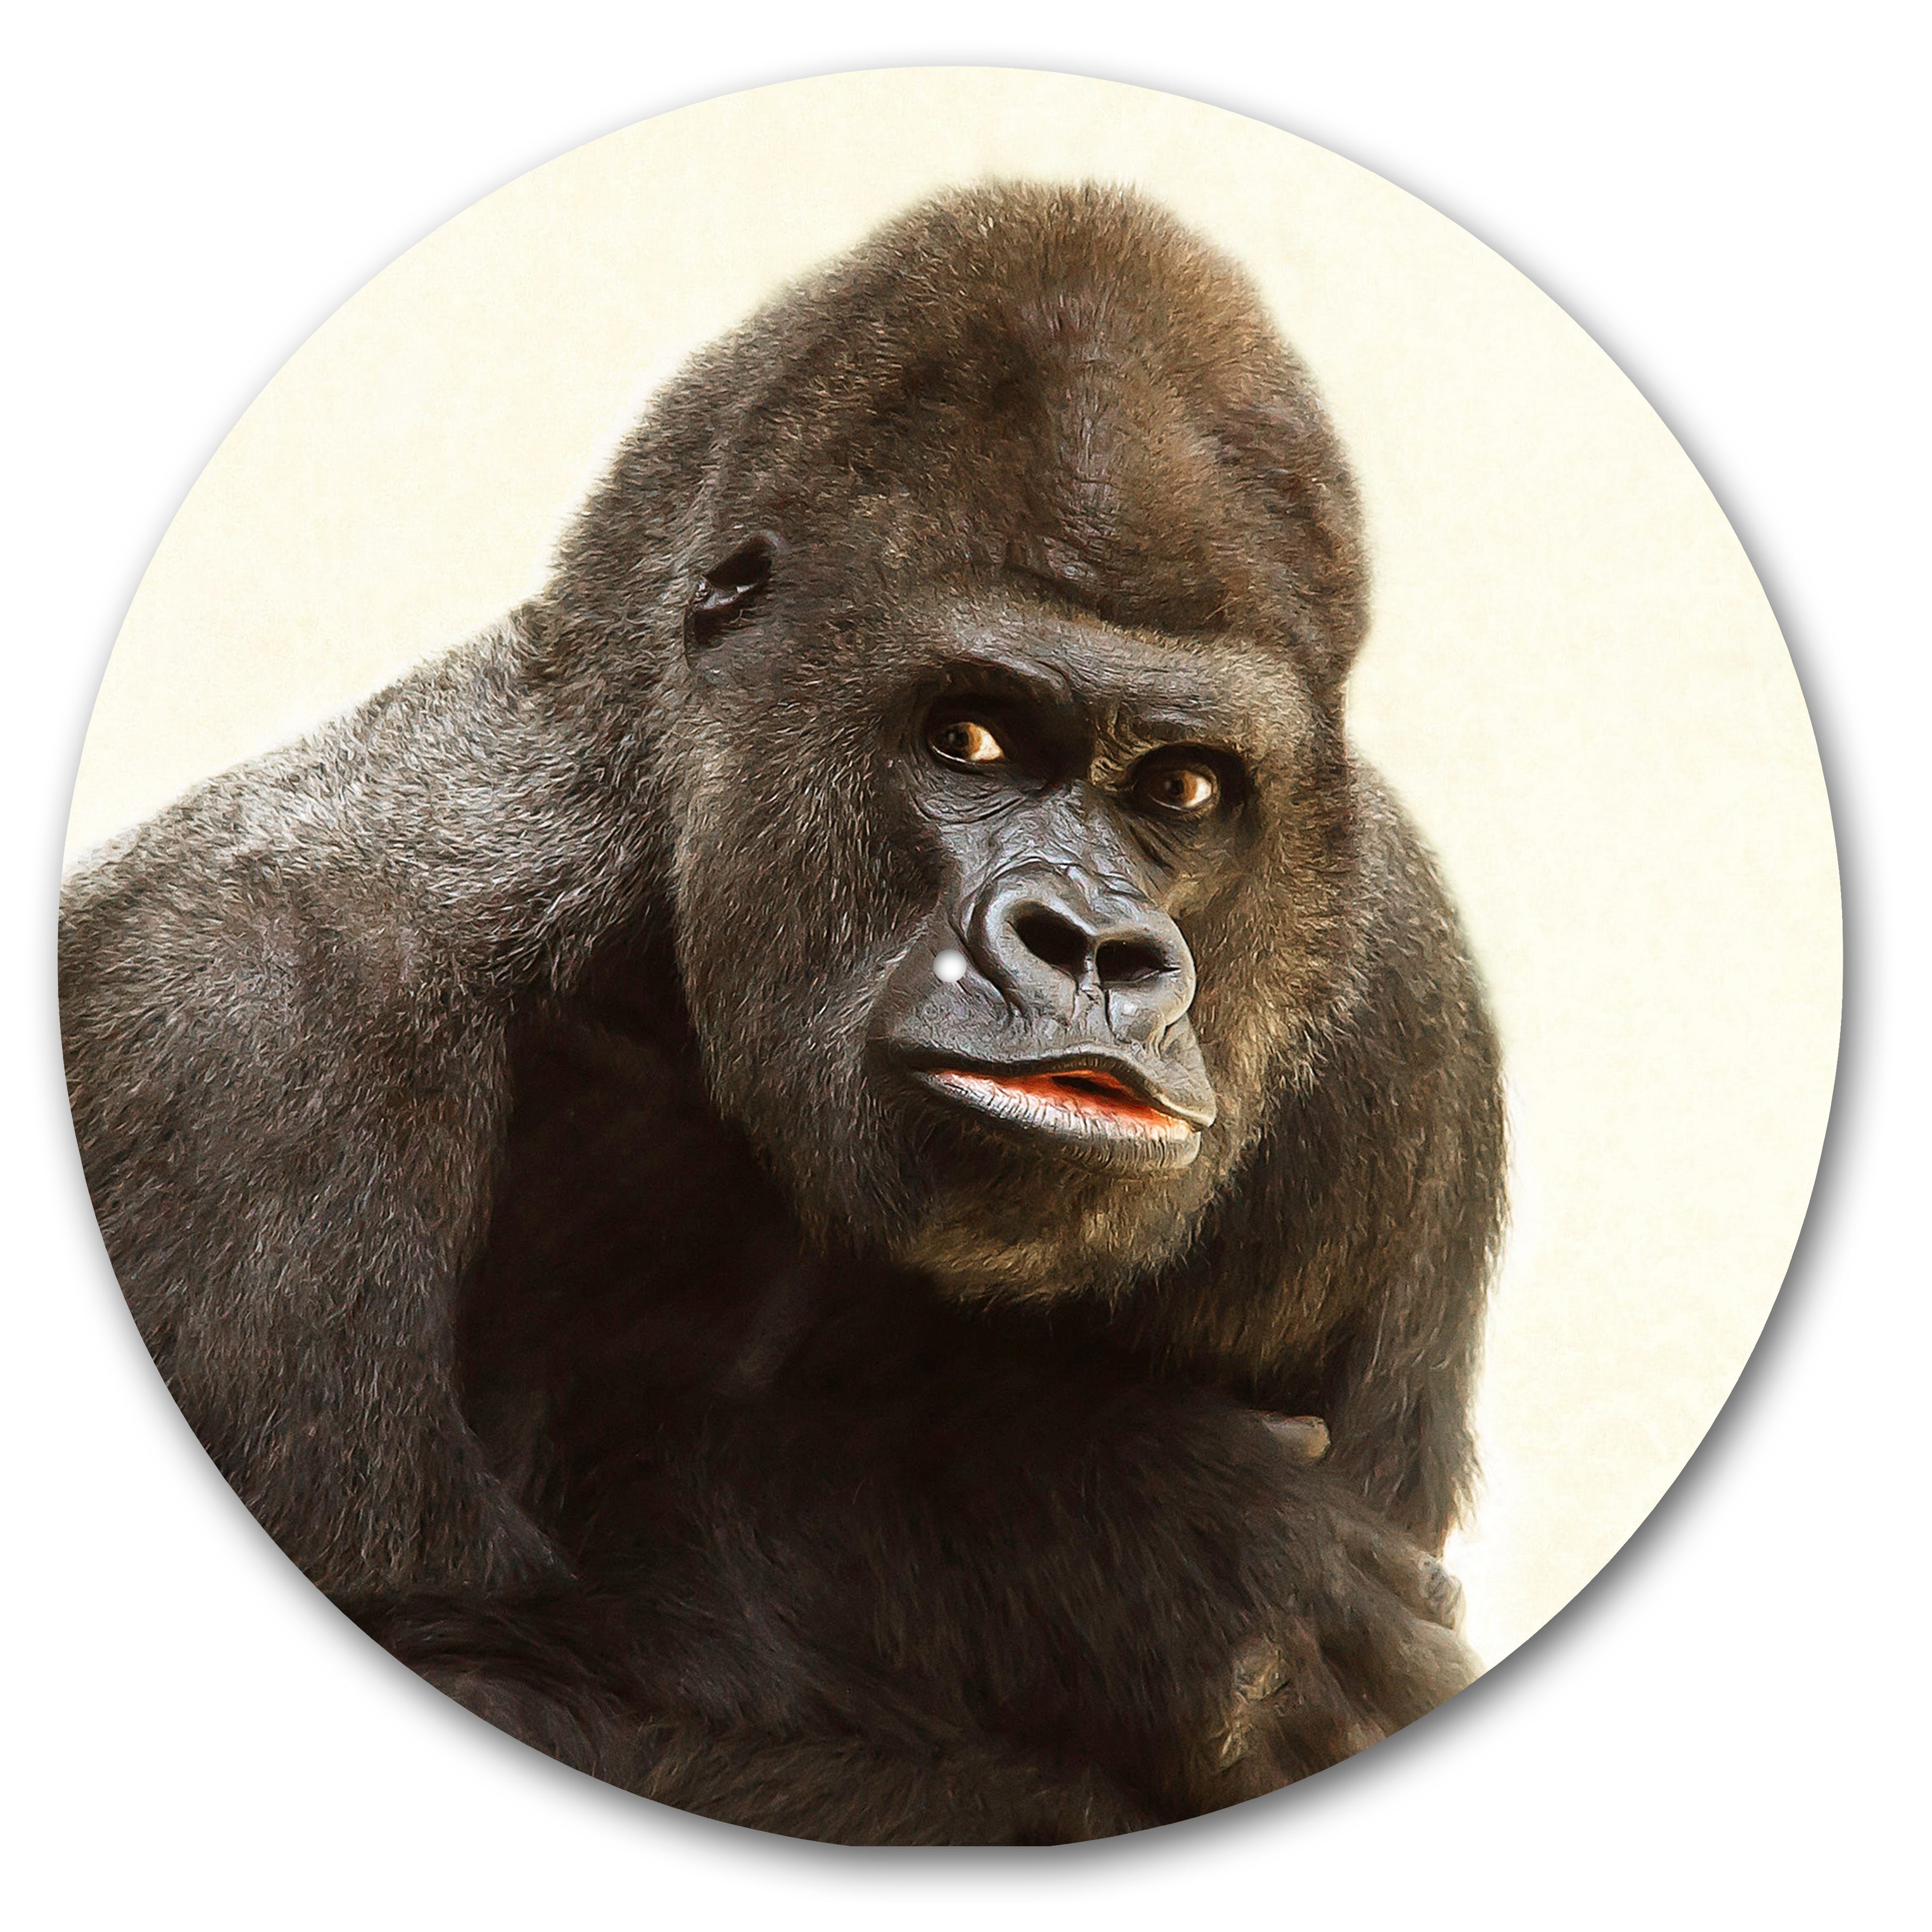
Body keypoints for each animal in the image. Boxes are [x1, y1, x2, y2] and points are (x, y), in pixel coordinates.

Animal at [59, 182, 1506, 1842]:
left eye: (1184, 789)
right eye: (968, 738)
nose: (1087, 945)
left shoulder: (1402, 1026)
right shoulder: (235, 1031)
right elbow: (472, 1663)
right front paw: (1119, 1546)